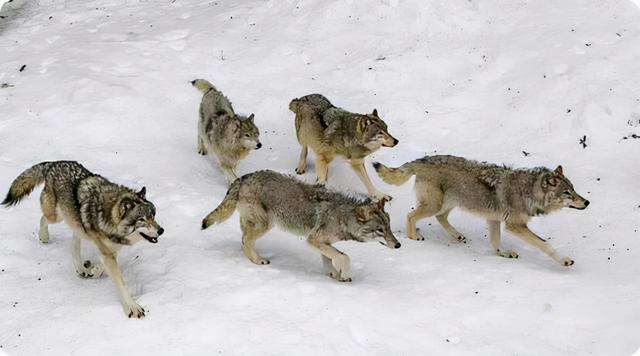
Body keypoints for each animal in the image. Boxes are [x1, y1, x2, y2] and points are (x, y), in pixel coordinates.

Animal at [200, 170, 400, 280]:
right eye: (380, 230)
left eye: (389, 228)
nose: (398, 245)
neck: (343, 216)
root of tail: (243, 177)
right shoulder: (313, 240)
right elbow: (344, 257)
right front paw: (344, 274)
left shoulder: (323, 242)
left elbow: (330, 258)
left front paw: (334, 275)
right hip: (265, 224)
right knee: (246, 241)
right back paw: (258, 260)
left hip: (258, 223)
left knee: (243, 239)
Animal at [376, 154, 592, 266]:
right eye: (567, 192)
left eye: (574, 189)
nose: (587, 202)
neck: (528, 192)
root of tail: (421, 159)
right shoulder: (515, 226)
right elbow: (545, 244)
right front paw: (564, 260)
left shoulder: (494, 219)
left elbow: (495, 242)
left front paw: (503, 253)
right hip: (434, 205)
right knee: (410, 215)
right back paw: (414, 237)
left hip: (448, 204)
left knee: (441, 218)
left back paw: (457, 235)